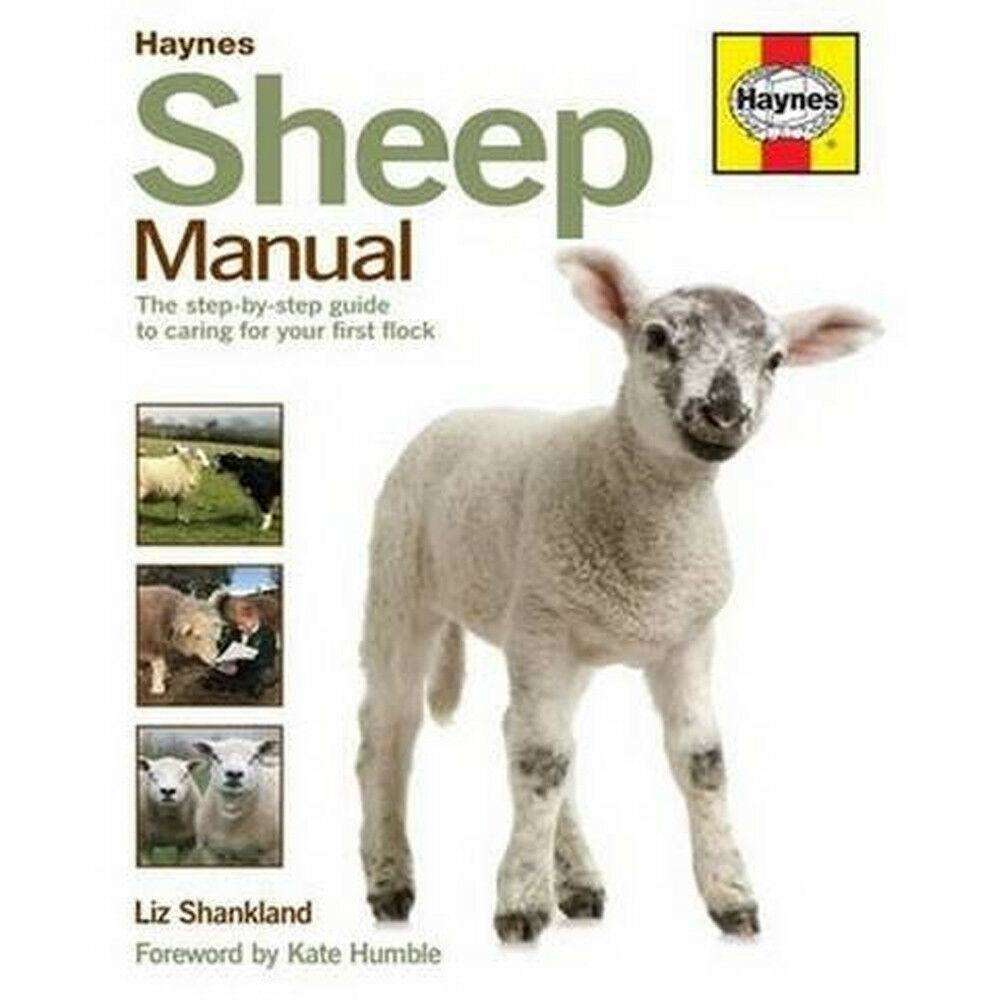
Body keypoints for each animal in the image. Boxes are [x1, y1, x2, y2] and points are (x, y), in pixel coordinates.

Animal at [356, 248, 882, 943]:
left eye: (775, 360)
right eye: (656, 337)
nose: (724, 414)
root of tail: (457, 415)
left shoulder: (686, 636)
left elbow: (700, 760)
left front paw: (732, 896)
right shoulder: (543, 627)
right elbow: (541, 760)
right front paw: (521, 902)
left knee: (525, 733)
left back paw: (578, 880)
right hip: (401, 583)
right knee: (390, 728)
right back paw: (390, 880)